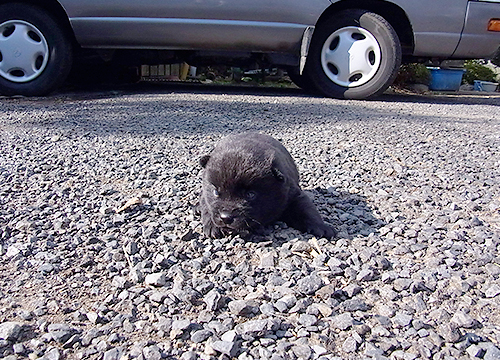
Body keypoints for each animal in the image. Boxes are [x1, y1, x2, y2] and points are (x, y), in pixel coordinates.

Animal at [199, 133, 336, 239]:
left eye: (250, 194)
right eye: (216, 192)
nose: (226, 217)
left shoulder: (293, 196)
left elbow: (307, 210)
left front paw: (322, 227)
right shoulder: (206, 195)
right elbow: (207, 206)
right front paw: (213, 226)